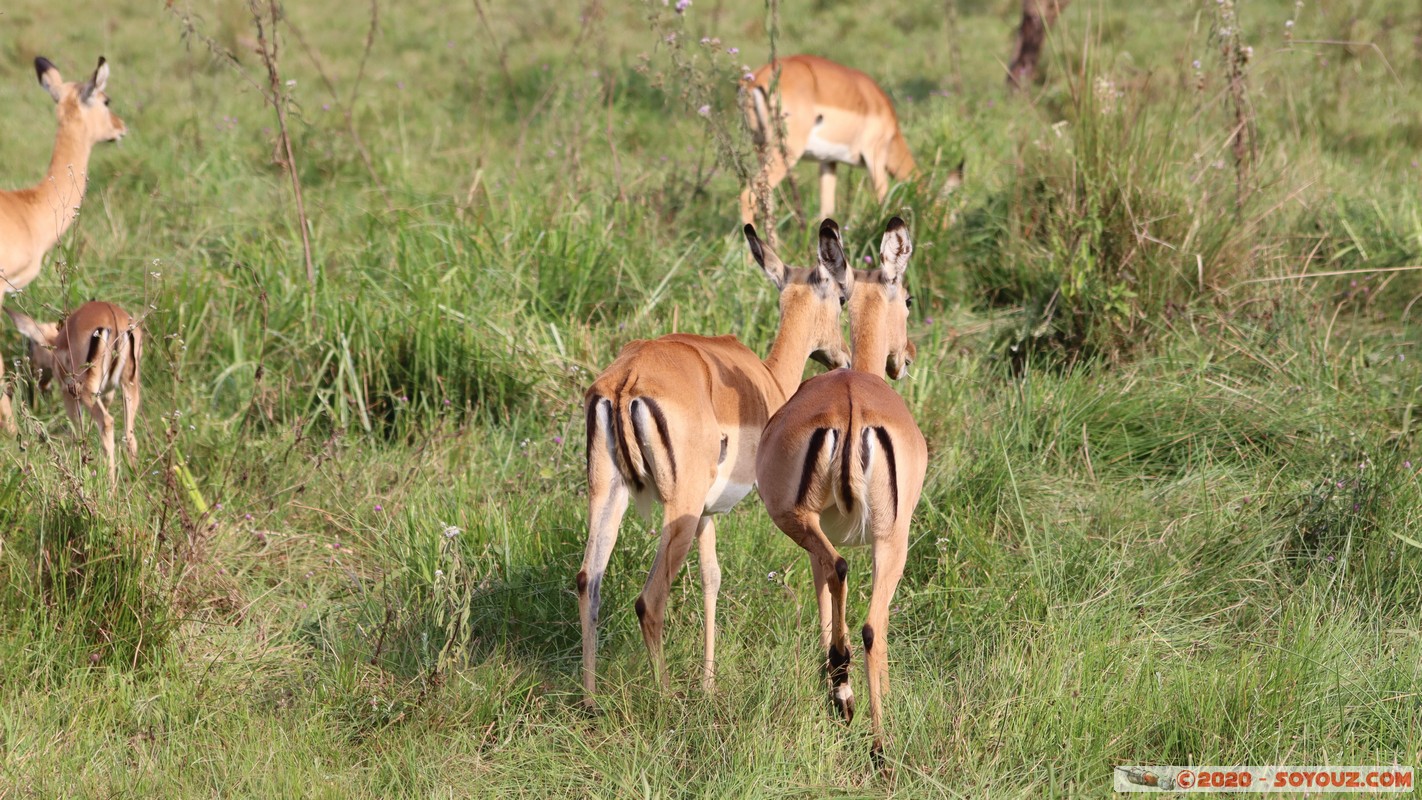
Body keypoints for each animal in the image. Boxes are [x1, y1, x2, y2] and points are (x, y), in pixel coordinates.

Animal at [6, 302, 143, 485]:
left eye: (31, 346)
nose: (37, 382)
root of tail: (113, 317)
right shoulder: (107, 394)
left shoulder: (68, 394)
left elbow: (78, 434)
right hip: (129, 384)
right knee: (129, 435)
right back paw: (134, 480)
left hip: (85, 390)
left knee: (106, 422)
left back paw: (109, 485)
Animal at [580, 217, 853, 701]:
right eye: (842, 296)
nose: (844, 357)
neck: (766, 379)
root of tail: (626, 380)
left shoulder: (709, 513)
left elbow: (711, 578)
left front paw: (708, 683)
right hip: (679, 507)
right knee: (649, 601)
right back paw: (667, 699)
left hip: (608, 495)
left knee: (588, 583)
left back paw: (590, 701)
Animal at [739, 56, 961, 227]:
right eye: (943, 215)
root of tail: (757, 78)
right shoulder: (875, 157)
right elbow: (883, 201)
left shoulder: (828, 162)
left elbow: (827, 212)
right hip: (787, 150)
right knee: (748, 194)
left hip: (761, 147)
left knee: (765, 198)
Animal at [756, 215, 921, 767]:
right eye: (908, 298)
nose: (906, 357)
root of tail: (851, 405)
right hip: (881, 538)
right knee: (865, 612)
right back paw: (868, 730)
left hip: (825, 529)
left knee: (846, 584)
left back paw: (853, 707)